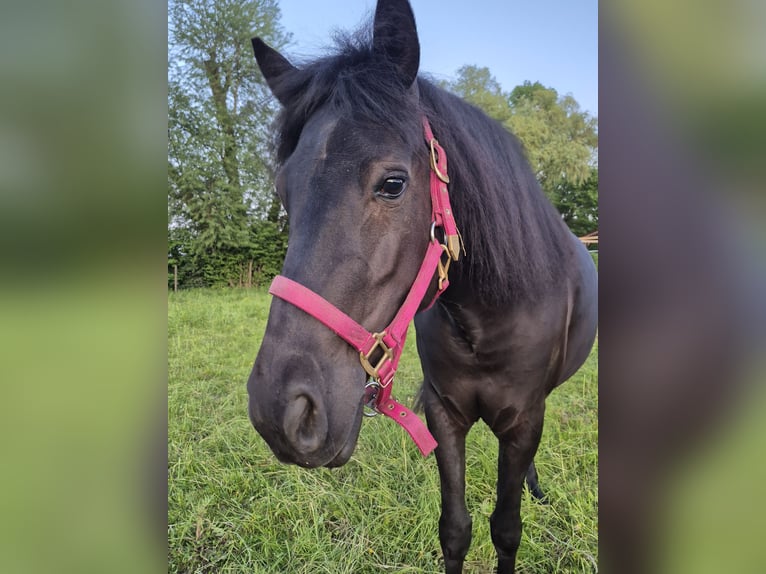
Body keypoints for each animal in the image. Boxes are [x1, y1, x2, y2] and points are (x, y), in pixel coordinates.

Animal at [247, 1, 597, 572]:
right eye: (283, 191)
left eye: (393, 183)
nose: (282, 410)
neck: (488, 317)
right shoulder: (444, 416)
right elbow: (455, 530)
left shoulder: (523, 420)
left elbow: (507, 529)